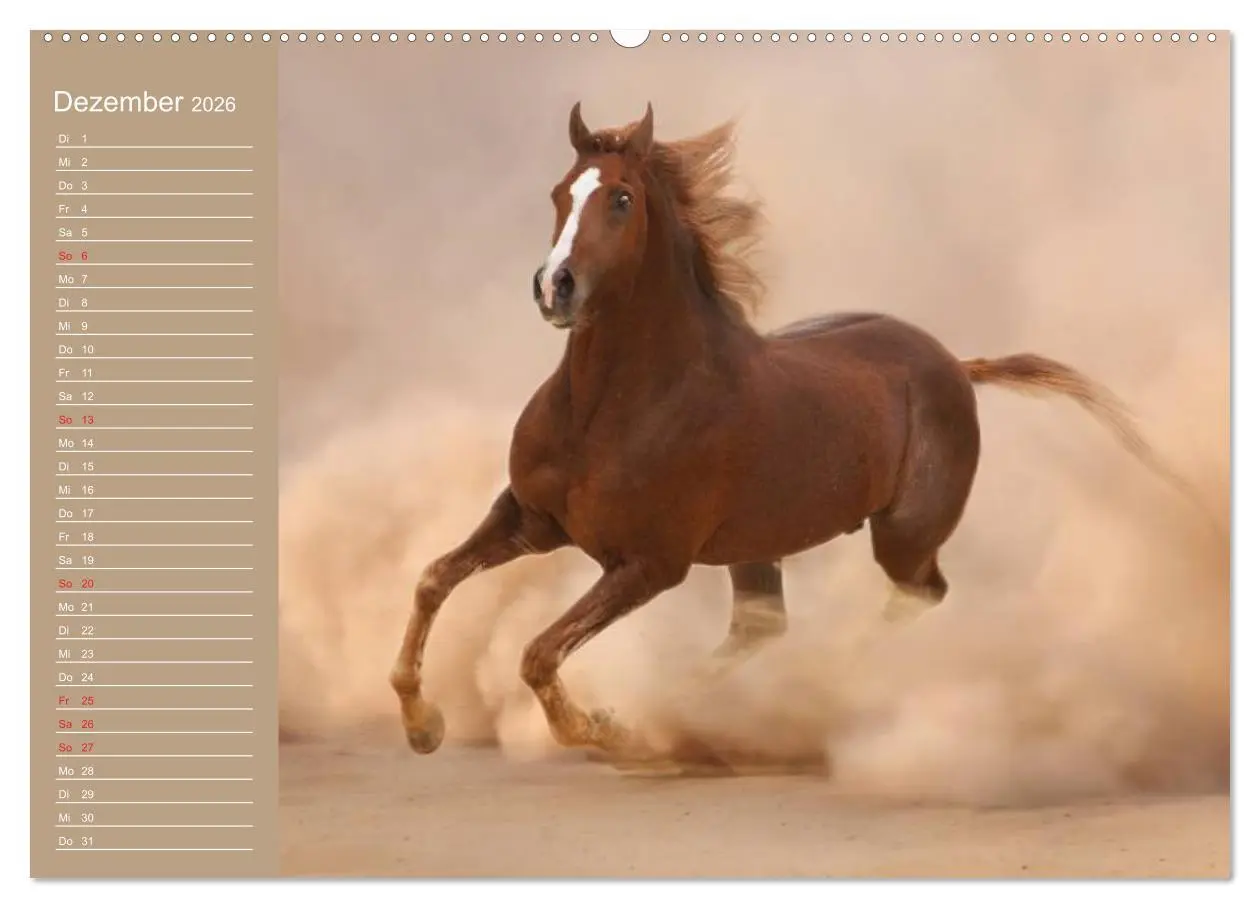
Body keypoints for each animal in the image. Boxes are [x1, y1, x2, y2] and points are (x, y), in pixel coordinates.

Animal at [389, 102, 1194, 760]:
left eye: (620, 198)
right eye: (560, 193)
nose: (555, 288)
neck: (610, 407)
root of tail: (953, 364)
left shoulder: (649, 564)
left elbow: (538, 652)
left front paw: (603, 730)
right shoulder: (530, 519)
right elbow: (433, 580)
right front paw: (422, 725)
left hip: (904, 535)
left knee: (917, 596)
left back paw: (803, 686)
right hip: (760, 546)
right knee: (764, 627)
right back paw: (692, 713)